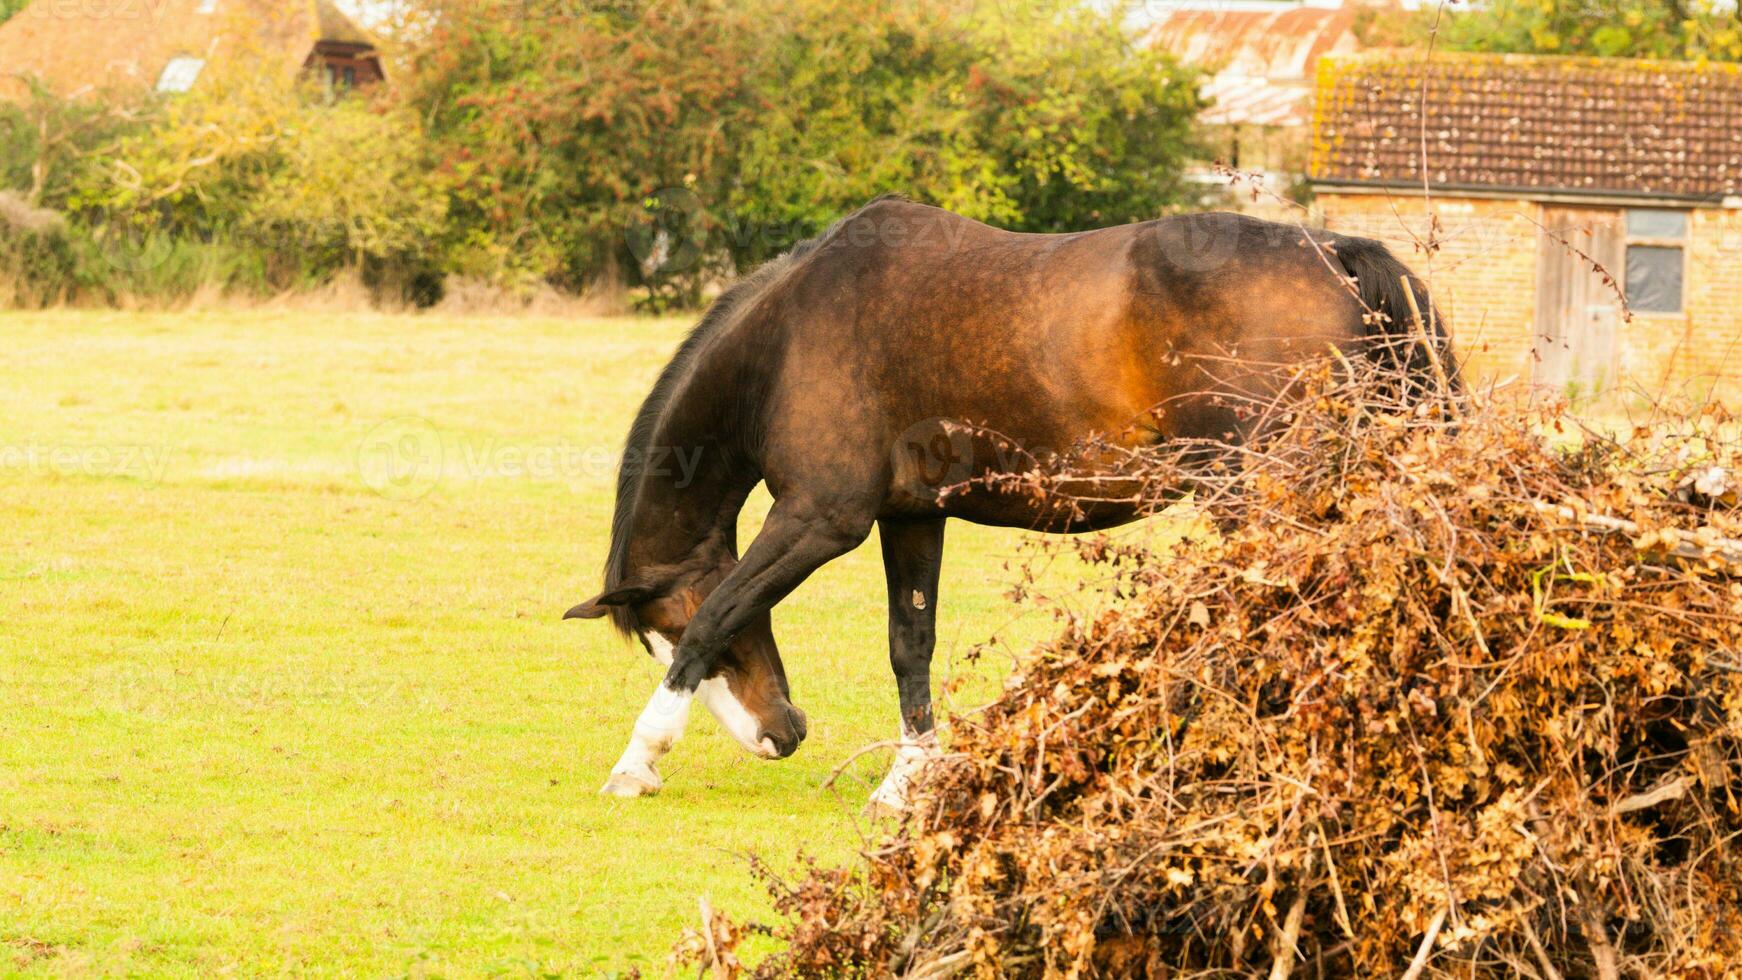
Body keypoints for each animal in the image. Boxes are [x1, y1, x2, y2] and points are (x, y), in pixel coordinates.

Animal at [567, 197, 1442, 804]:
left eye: (663, 629)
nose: (783, 734)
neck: (789, 336)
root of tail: (1335, 254)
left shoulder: (821, 519)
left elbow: (721, 613)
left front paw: (637, 760)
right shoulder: (911, 515)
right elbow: (909, 645)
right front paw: (906, 784)